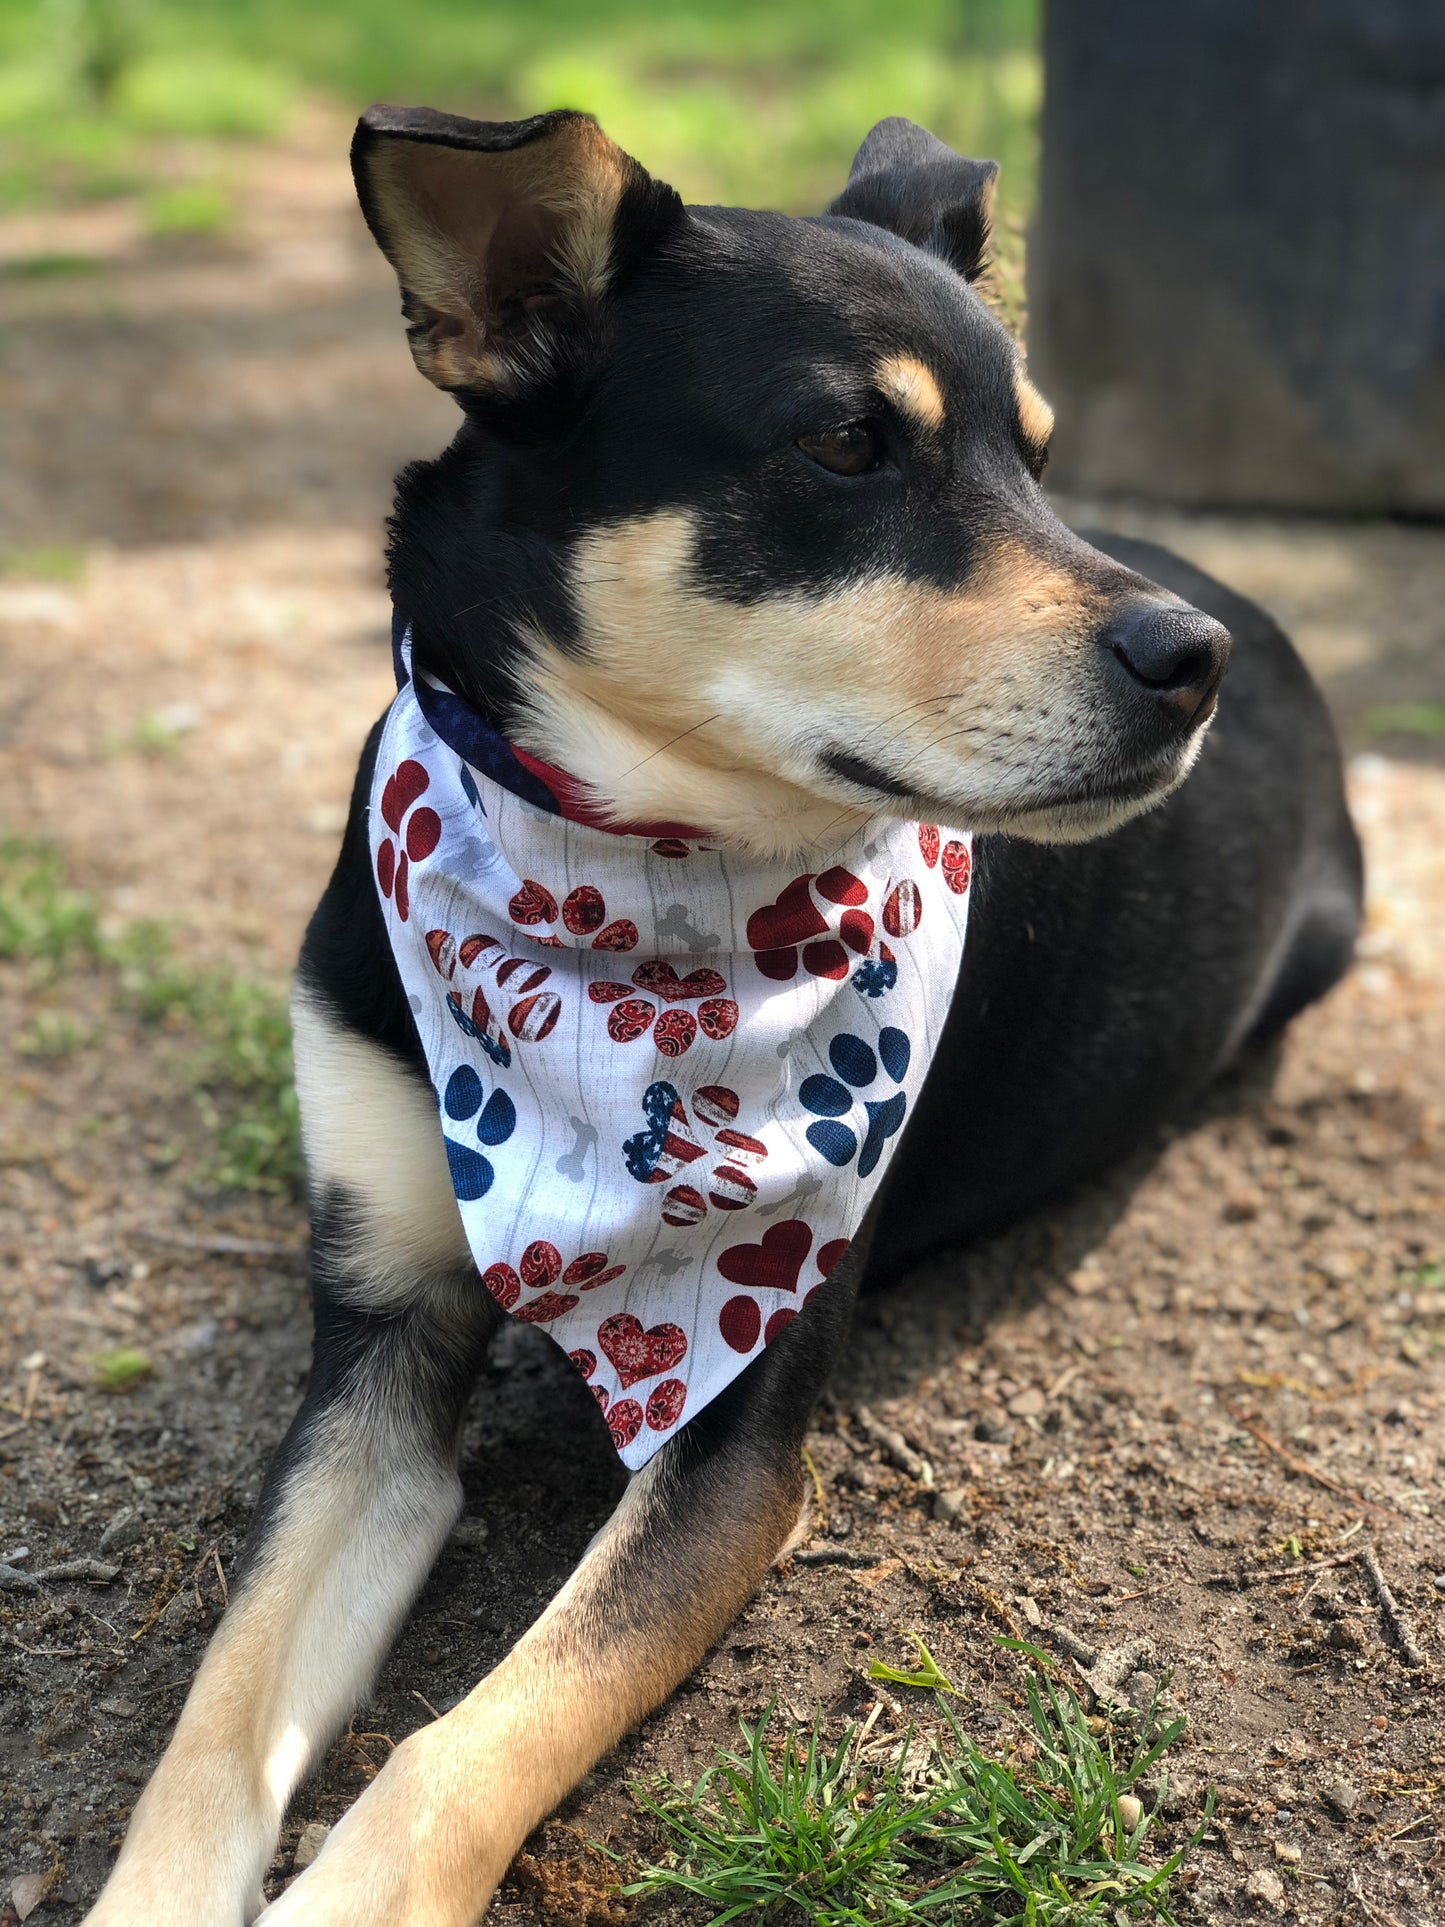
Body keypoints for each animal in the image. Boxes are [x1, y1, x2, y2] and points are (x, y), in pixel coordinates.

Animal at [87, 109, 1356, 1927]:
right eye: (845, 444)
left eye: (1039, 457)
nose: (1192, 660)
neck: (623, 897)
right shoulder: (374, 1349)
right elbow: (215, 1713)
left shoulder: (738, 1435)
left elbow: (456, 1751)